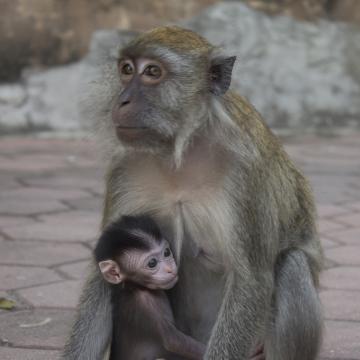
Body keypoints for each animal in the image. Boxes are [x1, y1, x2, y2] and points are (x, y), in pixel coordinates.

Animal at [93, 215, 205, 358]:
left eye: (167, 252)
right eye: (152, 263)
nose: (170, 269)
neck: (135, 286)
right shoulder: (146, 303)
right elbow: (173, 342)